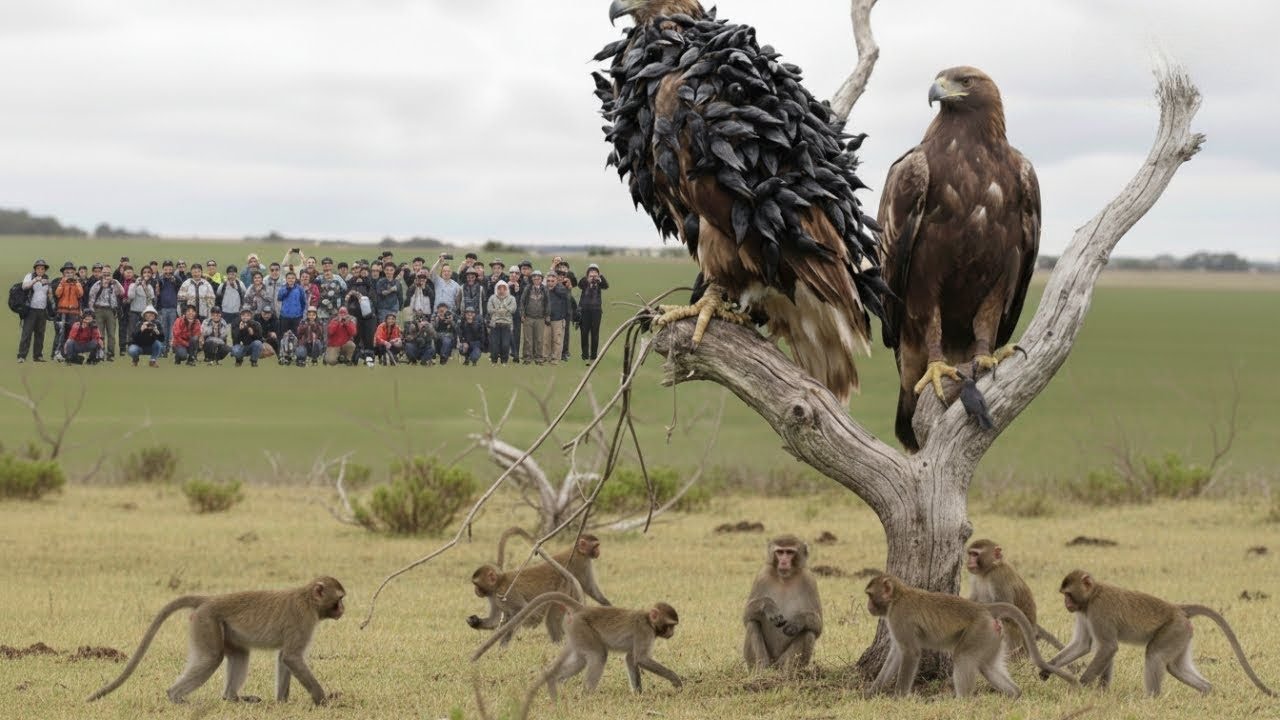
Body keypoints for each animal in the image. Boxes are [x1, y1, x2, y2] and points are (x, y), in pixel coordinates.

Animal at [87, 576, 345, 705]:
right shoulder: (303, 620)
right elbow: (292, 657)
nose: (343, 609)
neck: (308, 599)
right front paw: (323, 700)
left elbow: (284, 657)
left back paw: (233, 698)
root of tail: (208, 600)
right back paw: (176, 697)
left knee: (239, 654)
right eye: (339, 598)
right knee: (212, 658)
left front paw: (282, 701)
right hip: (206, 622)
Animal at [471, 591, 681, 720]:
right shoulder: (644, 631)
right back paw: (586, 696)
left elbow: (631, 659)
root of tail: (583, 609)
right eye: (670, 625)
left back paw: (553, 683)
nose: (672, 633)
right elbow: (640, 659)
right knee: (598, 656)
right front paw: (676, 680)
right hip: (582, 628)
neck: (648, 619)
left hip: (575, 631)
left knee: (581, 659)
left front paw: (638, 693)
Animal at [743, 534, 823, 670]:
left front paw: (797, 621)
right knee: (752, 623)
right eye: (780, 552)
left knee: (808, 632)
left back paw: (788, 671)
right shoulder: (762, 576)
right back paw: (761, 668)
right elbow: (746, 615)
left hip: (782, 661)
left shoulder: (809, 580)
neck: (785, 578)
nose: (784, 562)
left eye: (789, 552)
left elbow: (818, 626)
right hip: (767, 659)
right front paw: (769, 606)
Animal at [864, 573, 1077, 697]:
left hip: (979, 630)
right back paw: (1014, 694)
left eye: (869, 595)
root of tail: (984, 609)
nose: (868, 606)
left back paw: (961, 701)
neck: (897, 597)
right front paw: (872, 692)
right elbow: (896, 653)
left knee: (963, 657)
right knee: (986, 666)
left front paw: (899, 698)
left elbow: (910, 653)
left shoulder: (900, 616)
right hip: (992, 634)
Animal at [1043, 570, 1275, 697]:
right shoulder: (1084, 612)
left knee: (1154, 655)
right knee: (1174, 667)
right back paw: (1207, 690)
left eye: (1068, 594)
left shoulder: (1099, 611)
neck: (1092, 595)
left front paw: (1079, 688)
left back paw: (1151, 700)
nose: (1066, 604)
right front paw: (1048, 668)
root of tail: (1178, 609)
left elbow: (1107, 647)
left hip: (1173, 630)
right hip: (1182, 633)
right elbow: (1084, 644)